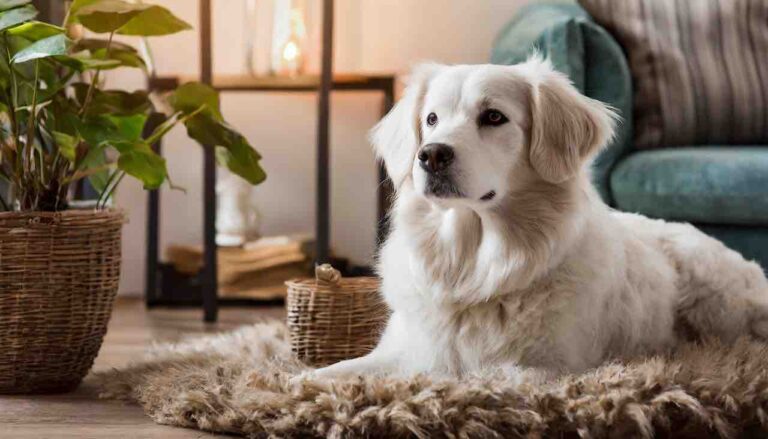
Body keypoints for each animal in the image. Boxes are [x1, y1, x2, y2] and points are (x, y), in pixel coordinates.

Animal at [316, 56, 768, 380]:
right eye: (431, 119)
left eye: (493, 117)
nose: (431, 155)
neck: (471, 266)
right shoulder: (406, 348)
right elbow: (329, 374)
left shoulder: (545, 367)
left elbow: (467, 378)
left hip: (718, 302)